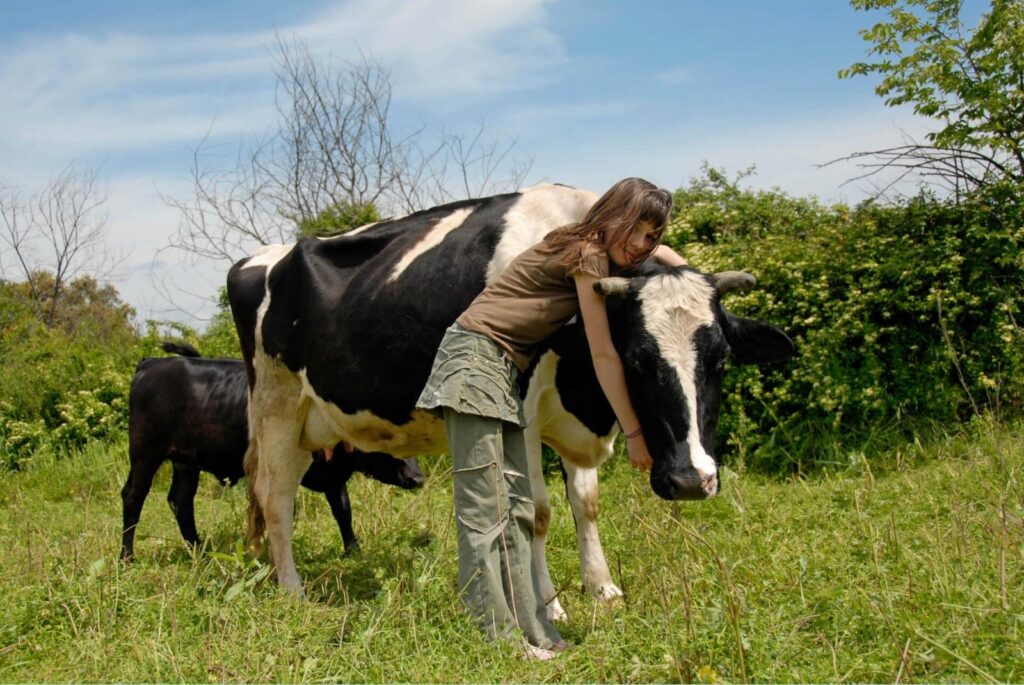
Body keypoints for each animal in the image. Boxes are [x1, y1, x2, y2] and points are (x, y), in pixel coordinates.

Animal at [120, 342, 425, 562]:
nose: (417, 478)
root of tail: (151, 364)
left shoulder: (334, 478)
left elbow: (343, 511)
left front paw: (354, 552)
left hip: (186, 461)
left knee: (181, 502)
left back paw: (200, 553)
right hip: (145, 453)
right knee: (134, 497)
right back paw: (127, 557)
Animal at [227, 183, 794, 618]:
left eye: (721, 360)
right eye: (636, 358)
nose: (691, 481)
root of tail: (261, 257)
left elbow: (586, 503)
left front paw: (603, 589)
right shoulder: (521, 414)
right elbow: (537, 512)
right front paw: (548, 605)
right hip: (276, 408)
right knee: (276, 499)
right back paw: (293, 591)